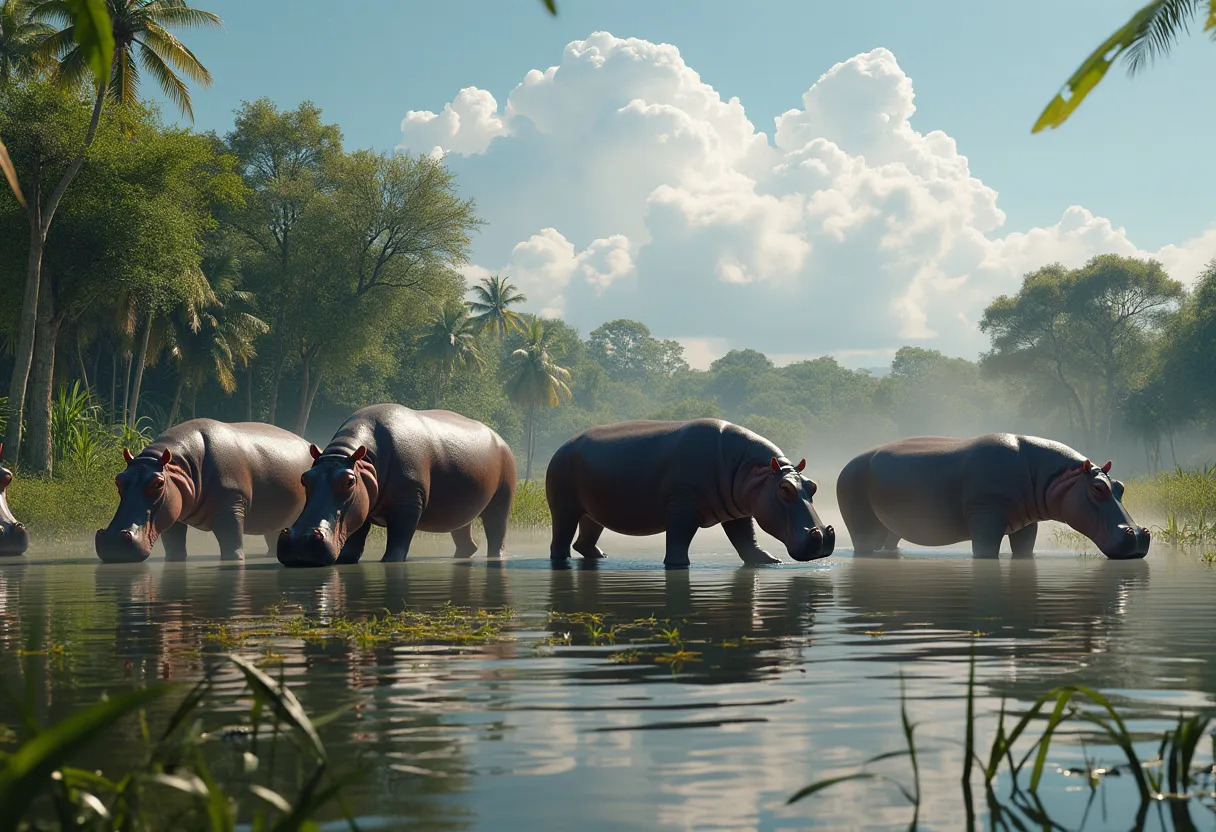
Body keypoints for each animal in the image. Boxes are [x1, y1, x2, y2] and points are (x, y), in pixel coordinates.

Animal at [96, 418, 313, 561]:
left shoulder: (231, 505)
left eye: (158, 483)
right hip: (277, 519)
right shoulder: (173, 514)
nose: (112, 541)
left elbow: (231, 544)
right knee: (273, 535)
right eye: (118, 480)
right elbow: (174, 547)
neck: (178, 466)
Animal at [276, 403, 518, 571]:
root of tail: (500, 438)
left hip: (502, 501)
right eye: (305, 478)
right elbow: (355, 541)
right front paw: (345, 560)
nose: (300, 542)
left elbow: (399, 538)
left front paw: (390, 562)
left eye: (349, 481)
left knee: (497, 532)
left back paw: (496, 556)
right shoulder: (362, 508)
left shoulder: (408, 503)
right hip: (461, 509)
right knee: (465, 537)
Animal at [544, 418, 836, 569]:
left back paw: (600, 556)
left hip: (592, 511)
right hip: (563, 508)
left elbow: (745, 539)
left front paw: (768, 560)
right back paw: (560, 561)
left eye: (812, 485)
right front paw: (678, 565)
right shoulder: (683, 505)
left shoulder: (738, 512)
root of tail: (563, 446)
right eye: (784, 489)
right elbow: (679, 537)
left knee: (586, 537)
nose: (822, 535)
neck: (756, 472)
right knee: (560, 538)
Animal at [836, 435, 1147, 559]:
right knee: (864, 543)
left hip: (893, 527)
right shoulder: (985, 517)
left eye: (1120, 486)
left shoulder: (1026, 524)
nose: (1138, 534)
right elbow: (985, 551)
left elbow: (1024, 549)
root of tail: (849, 463)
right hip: (859, 517)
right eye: (1098, 488)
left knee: (890, 542)